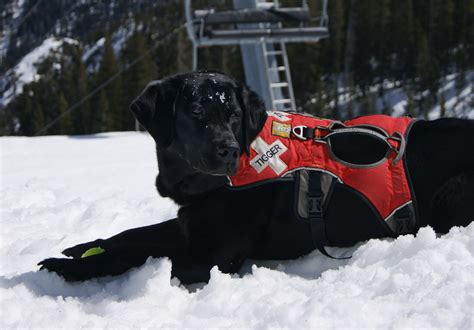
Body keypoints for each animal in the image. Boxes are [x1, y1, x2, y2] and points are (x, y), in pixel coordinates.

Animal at [38, 71, 474, 284]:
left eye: (233, 114)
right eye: (195, 112)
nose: (228, 150)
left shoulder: (212, 256)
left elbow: (137, 255)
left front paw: (70, 268)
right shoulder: (191, 220)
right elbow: (134, 235)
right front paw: (83, 247)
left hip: (453, 192)